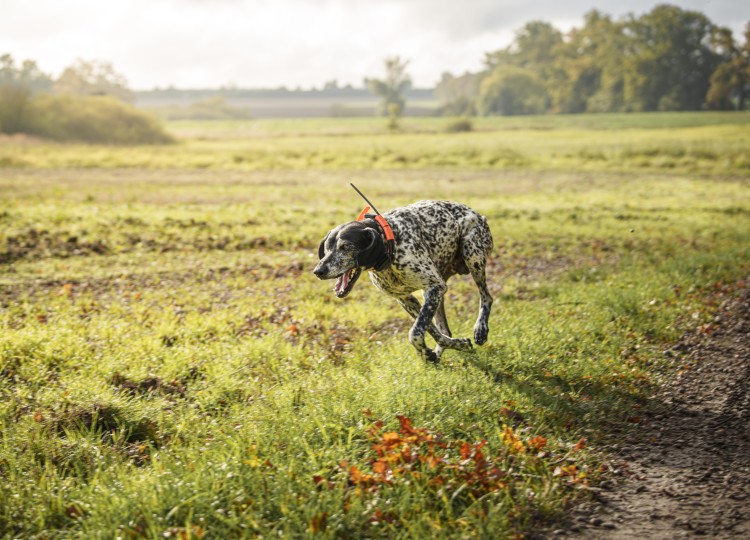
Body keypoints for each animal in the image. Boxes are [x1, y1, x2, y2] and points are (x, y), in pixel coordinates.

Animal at [314, 199, 496, 362]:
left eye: (346, 247)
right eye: (327, 247)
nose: (318, 271)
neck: (391, 242)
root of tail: (479, 215)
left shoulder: (434, 287)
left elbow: (415, 332)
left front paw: (429, 351)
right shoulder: (407, 298)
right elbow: (431, 331)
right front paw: (441, 349)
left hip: (472, 255)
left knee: (486, 297)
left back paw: (480, 329)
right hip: (437, 291)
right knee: (444, 328)